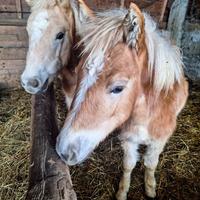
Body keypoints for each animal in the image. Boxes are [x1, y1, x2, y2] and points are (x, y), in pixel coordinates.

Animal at [55, 2, 188, 199]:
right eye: (78, 72)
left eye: (118, 88)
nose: (63, 151)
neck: (146, 115)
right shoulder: (129, 139)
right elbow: (128, 165)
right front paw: (122, 191)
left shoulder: (159, 140)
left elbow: (150, 165)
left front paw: (150, 187)